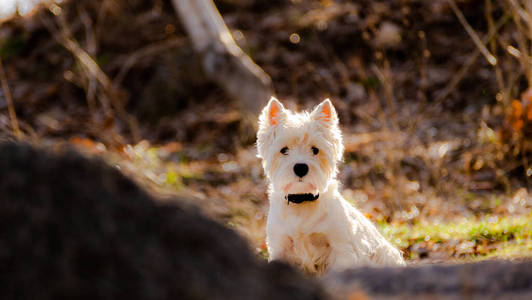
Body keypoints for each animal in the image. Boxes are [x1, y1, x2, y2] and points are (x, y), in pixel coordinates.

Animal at [256, 96, 404, 274]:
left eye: (315, 150)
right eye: (284, 150)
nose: (300, 168)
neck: (302, 203)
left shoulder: (341, 246)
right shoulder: (280, 246)